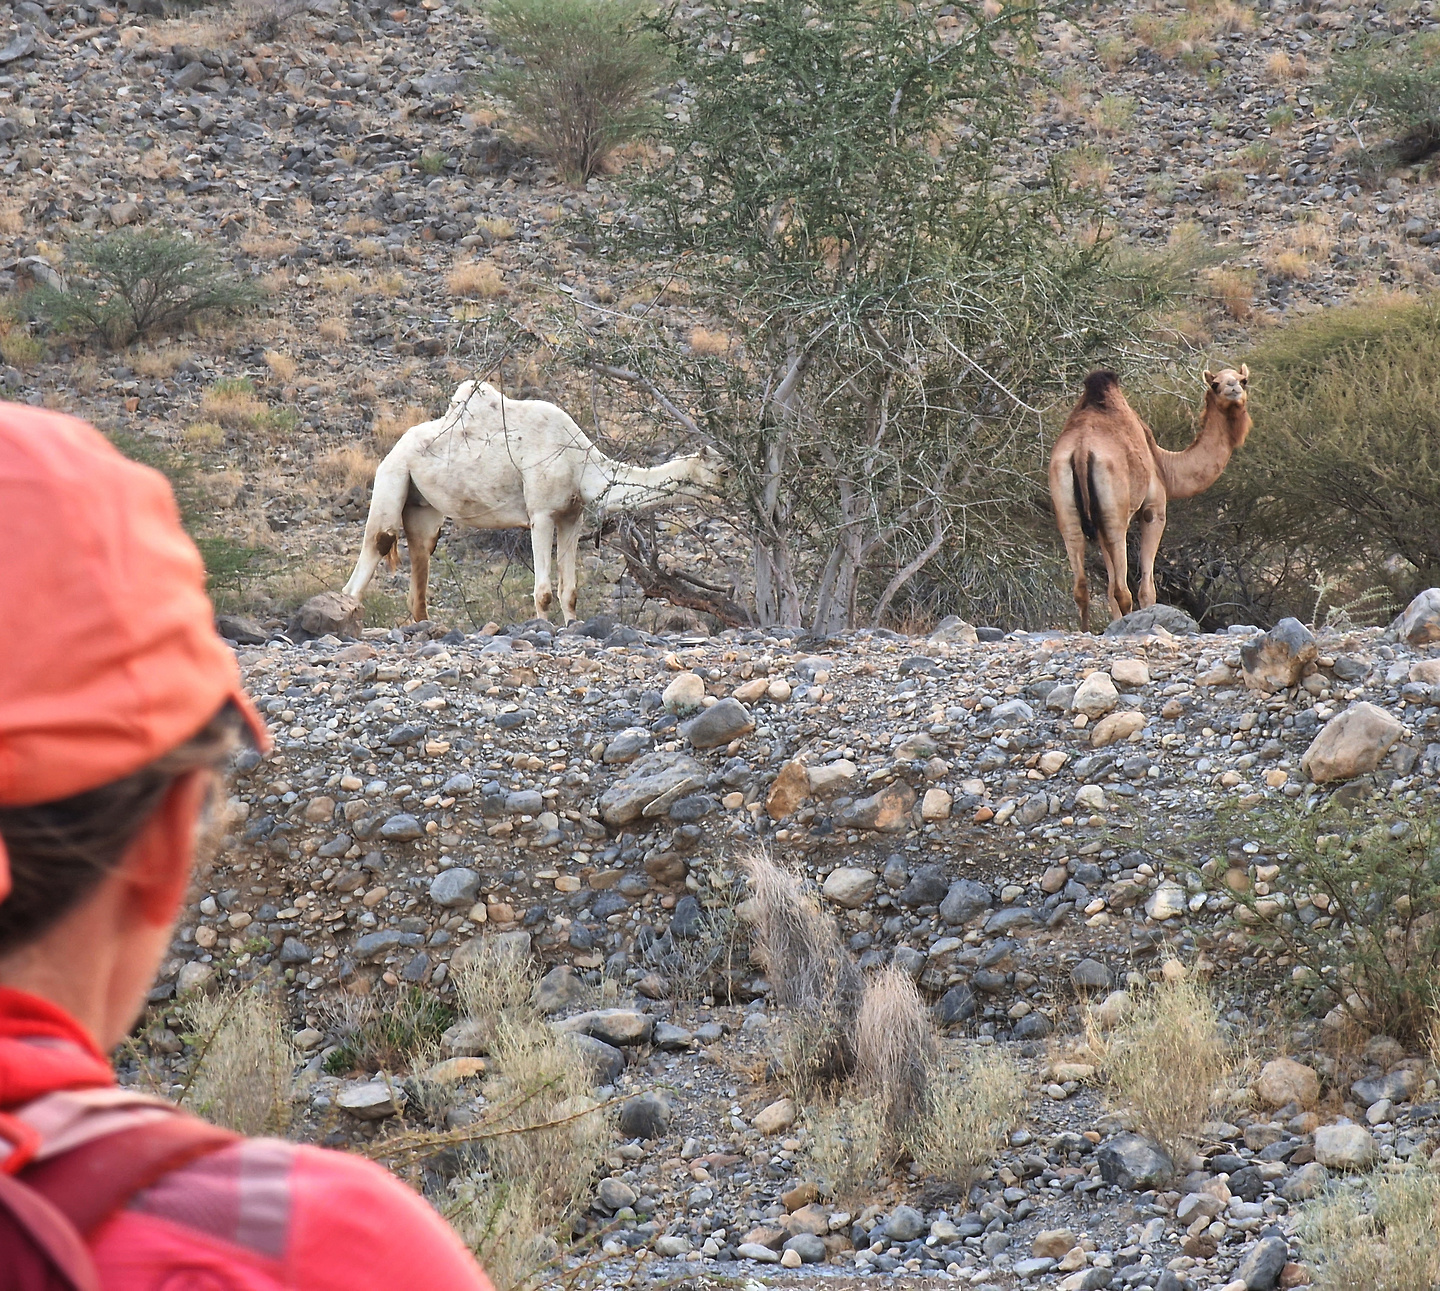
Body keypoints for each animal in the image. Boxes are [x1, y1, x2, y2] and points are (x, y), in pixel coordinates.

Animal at [342, 379, 725, 621]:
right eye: (721, 469)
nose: (730, 492)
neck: (582, 465)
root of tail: (394, 447)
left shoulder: (573, 515)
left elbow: (570, 590)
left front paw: (571, 625)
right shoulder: (540, 513)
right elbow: (542, 591)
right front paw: (543, 627)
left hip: (425, 506)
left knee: (421, 552)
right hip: (393, 475)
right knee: (379, 541)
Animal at [1048, 362, 1249, 630]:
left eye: (1243, 380)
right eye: (1215, 384)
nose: (1233, 388)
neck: (1165, 465)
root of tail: (1080, 451)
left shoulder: (1099, 526)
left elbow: (1109, 589)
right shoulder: (1153, 510)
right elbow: (1146, 590)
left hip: (1068, 511)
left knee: (1082, 586)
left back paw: (1085, 631)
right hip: (1116, 516)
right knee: (1123, 590)